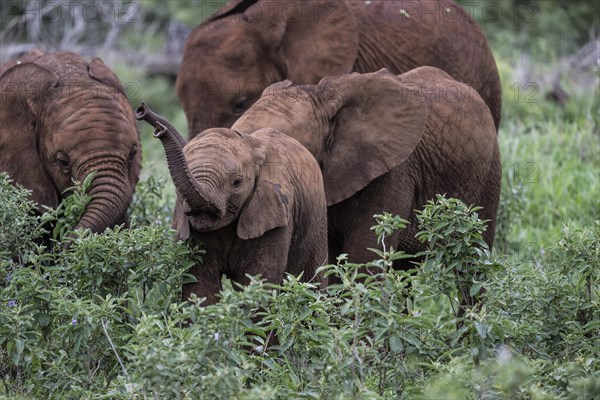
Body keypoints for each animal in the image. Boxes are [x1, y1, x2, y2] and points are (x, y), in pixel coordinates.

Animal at [135, 102, 326, 304]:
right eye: (177, 189)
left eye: (236, 183)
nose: (142, 111)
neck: (252, 144)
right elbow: (201, 286)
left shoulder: (276, 213)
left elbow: (260, 281)